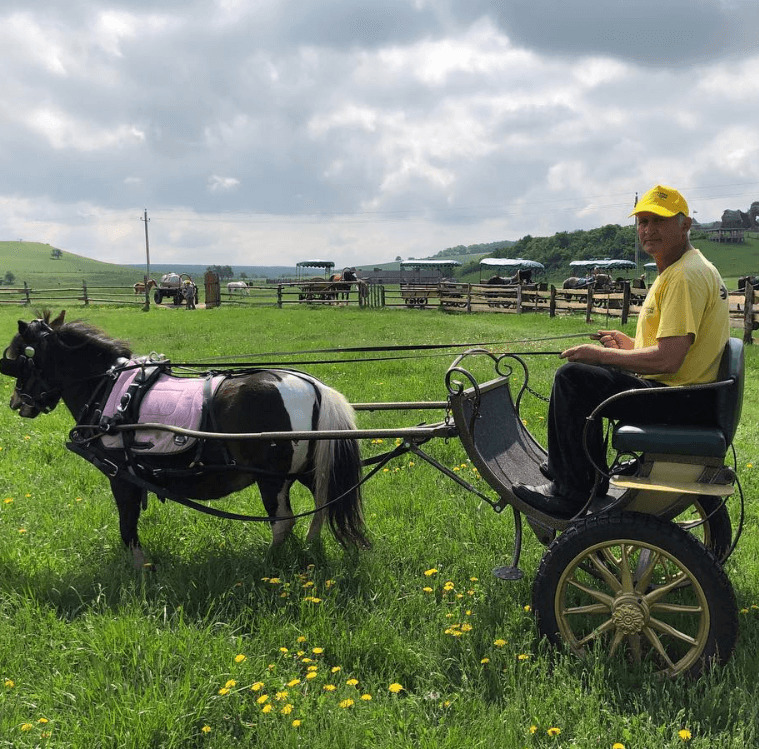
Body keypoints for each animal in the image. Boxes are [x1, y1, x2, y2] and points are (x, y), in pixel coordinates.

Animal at [0, 310, 368, 568]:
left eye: (18, 358)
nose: (16, 403)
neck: (110, 388)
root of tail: (315, 387)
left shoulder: (121, 476)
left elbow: (127, 524)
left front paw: (139, 567)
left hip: (272, 479)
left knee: (283, 522)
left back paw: (269, 562)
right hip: (310, 471)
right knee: (322, 506)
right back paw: (309, 547)